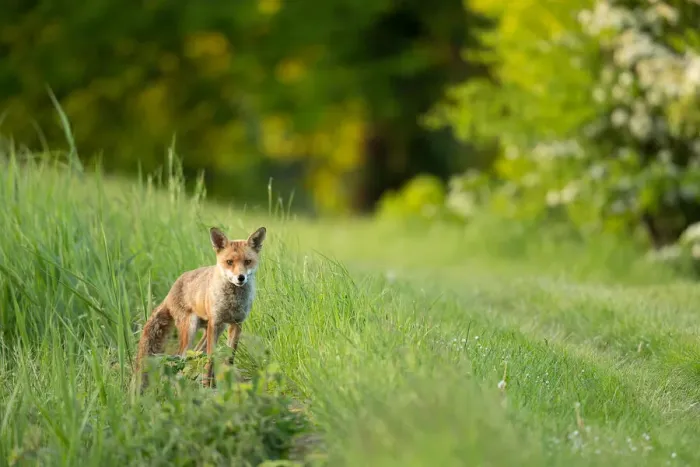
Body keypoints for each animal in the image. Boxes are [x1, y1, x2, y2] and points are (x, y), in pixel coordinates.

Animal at [135, 226, 267, 391]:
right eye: (229, 262)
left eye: (248, 261)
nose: (241, 277)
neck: (233, 302)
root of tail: (170, 291)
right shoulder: (215, 322)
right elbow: (211, 357)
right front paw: (207, 384)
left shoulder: (236, 323)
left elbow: (230, 358)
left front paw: (225, 384)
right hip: (192, 329)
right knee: (180, 357)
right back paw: (181, 384)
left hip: (214, 329)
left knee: (195, 353)